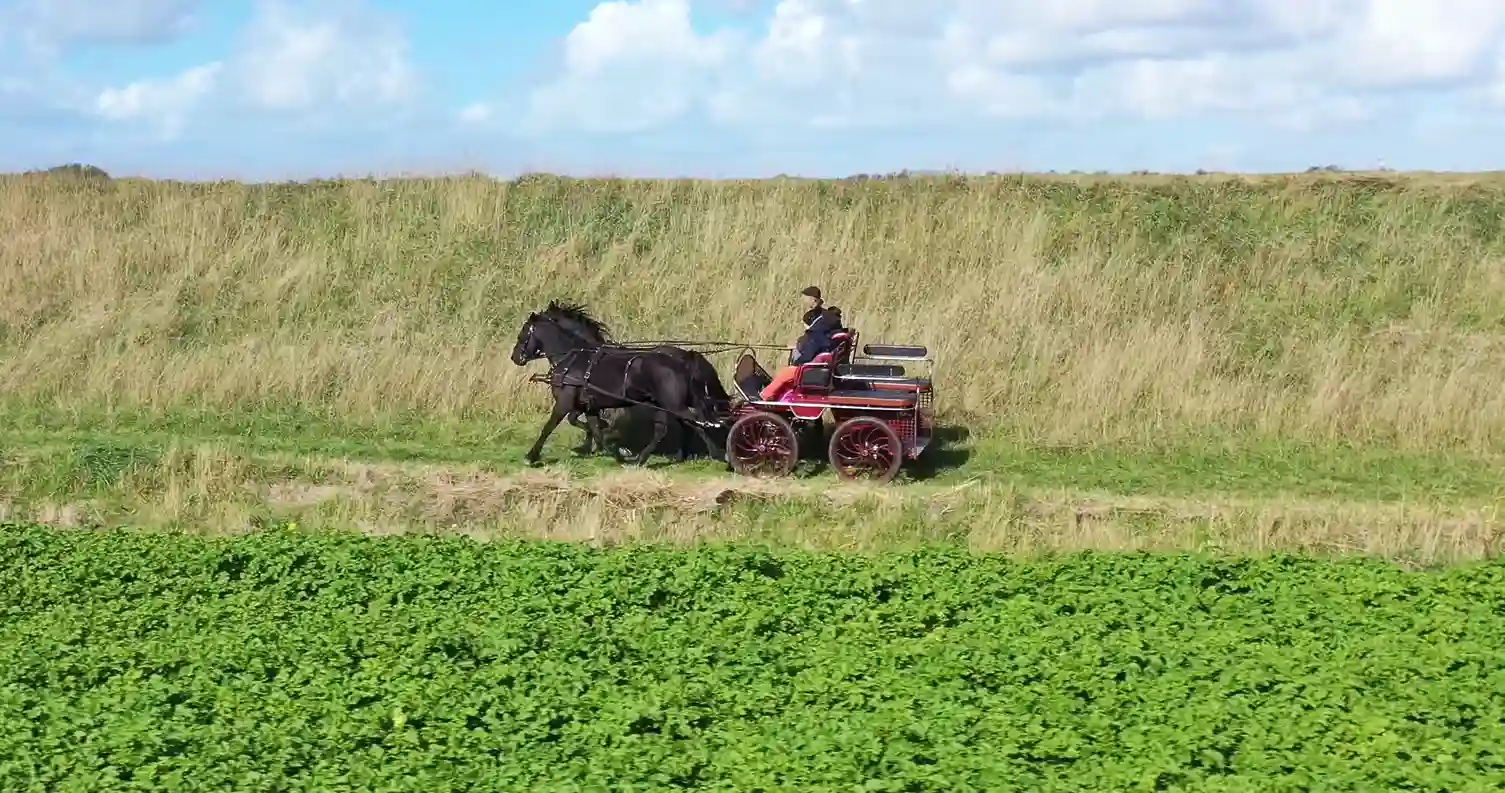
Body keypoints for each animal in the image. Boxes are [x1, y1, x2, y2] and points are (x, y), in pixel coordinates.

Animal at [511, 310, 725, 467]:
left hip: (671, 404)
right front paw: (611, 451)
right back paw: (657, 458)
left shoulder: (564, 402)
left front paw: (531, 456)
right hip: (664, 404)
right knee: (672, 427)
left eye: (523, 334)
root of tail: (683, 360)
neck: (574, 360)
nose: (515, 358)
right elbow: (593, 428)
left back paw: (717, 454)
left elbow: (549, 427)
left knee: (693, 422)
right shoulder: (589, 406)